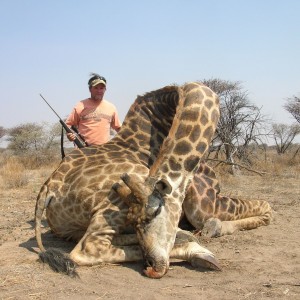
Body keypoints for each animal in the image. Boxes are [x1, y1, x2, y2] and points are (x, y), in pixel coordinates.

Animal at [34, 82, 272, 278]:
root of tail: (48, 189)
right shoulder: (205, 208)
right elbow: (266, 206)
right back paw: (197, 251)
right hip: (127, 184)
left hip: (71, 228)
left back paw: (185, 237)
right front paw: (213, 229)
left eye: (153, 214)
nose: (152, 267)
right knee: (86, 250)